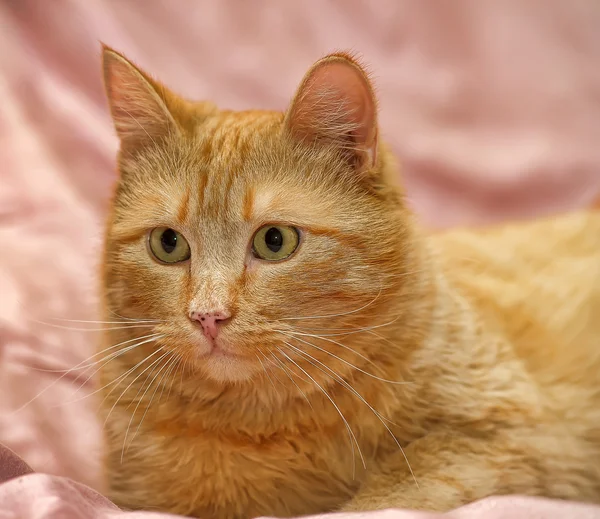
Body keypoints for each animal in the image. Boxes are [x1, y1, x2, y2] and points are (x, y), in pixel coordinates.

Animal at [98, 45, 600, 519]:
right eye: (168, 244)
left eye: (275, 241)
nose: (207, 316)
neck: (256, 423)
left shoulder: (518, 438)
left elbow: (388, 494)